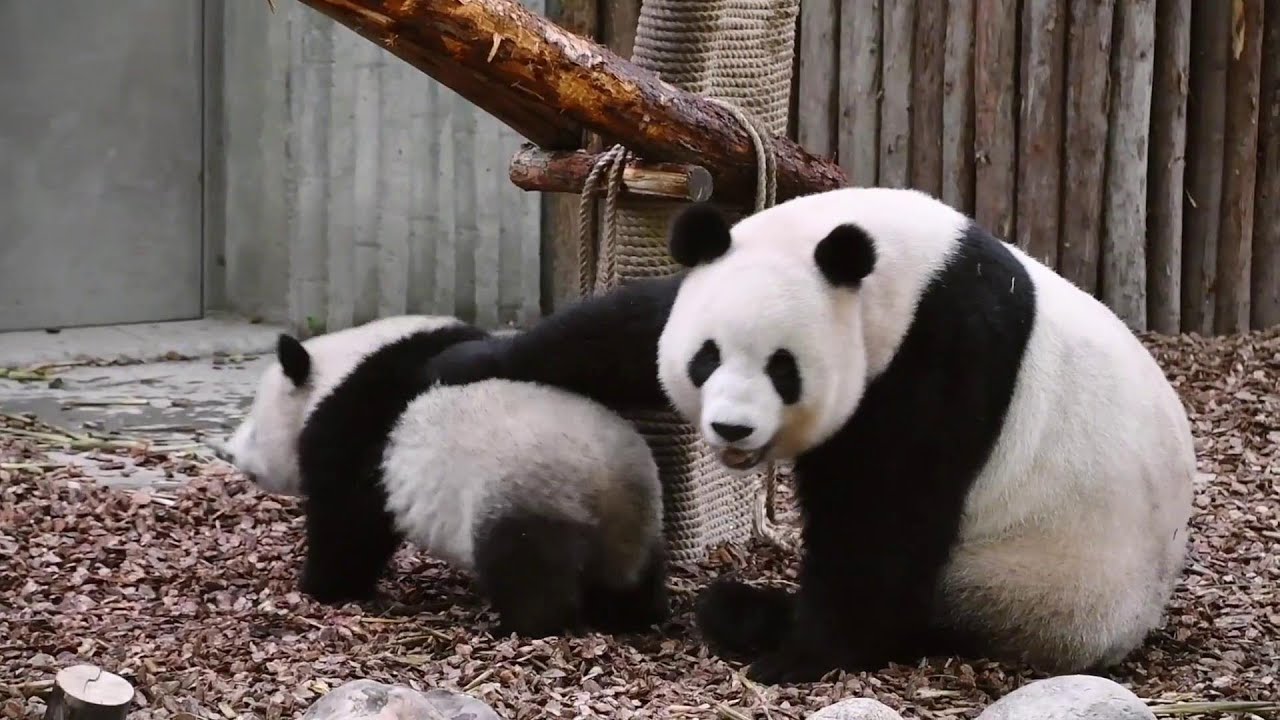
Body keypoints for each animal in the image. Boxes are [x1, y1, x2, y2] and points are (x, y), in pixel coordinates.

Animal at [218, 315, 669, 638]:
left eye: (254, 425)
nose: (228, 452)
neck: (338, 370)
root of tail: (613, 484)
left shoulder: (354, 430)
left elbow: (348, 523)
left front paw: (323, 587)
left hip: (527, 490)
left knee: (526, 568)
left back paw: (520, 627)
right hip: (635, 521)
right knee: (634, 577)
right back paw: (634, 616)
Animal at [422, 187, 1198, 683]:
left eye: (783, 368)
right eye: (706, 358)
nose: (731, 426)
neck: (902, 270)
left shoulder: (942, 356)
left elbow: (887, 515)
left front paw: (802, 656)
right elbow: (628, 331)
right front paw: (459, 362)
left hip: (1028, 582)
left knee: (934, 607)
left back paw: (748, 615)